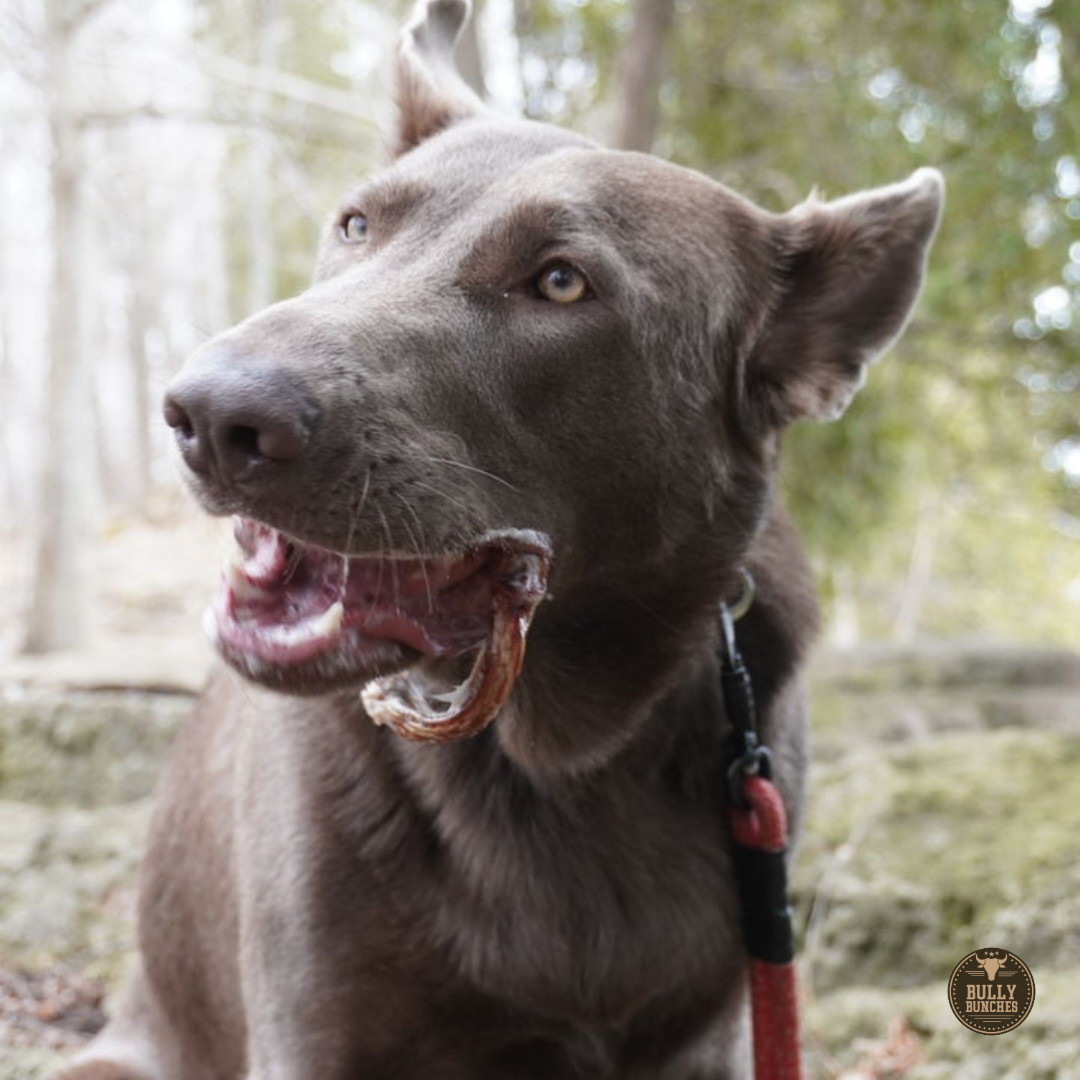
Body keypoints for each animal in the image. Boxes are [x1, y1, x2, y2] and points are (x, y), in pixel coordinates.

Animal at [54, 4, 941, 1075]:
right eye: (356, 225)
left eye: (559, 283)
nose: (213, 416)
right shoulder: (314, 1025)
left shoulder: (712, 1025)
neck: (555, 762)